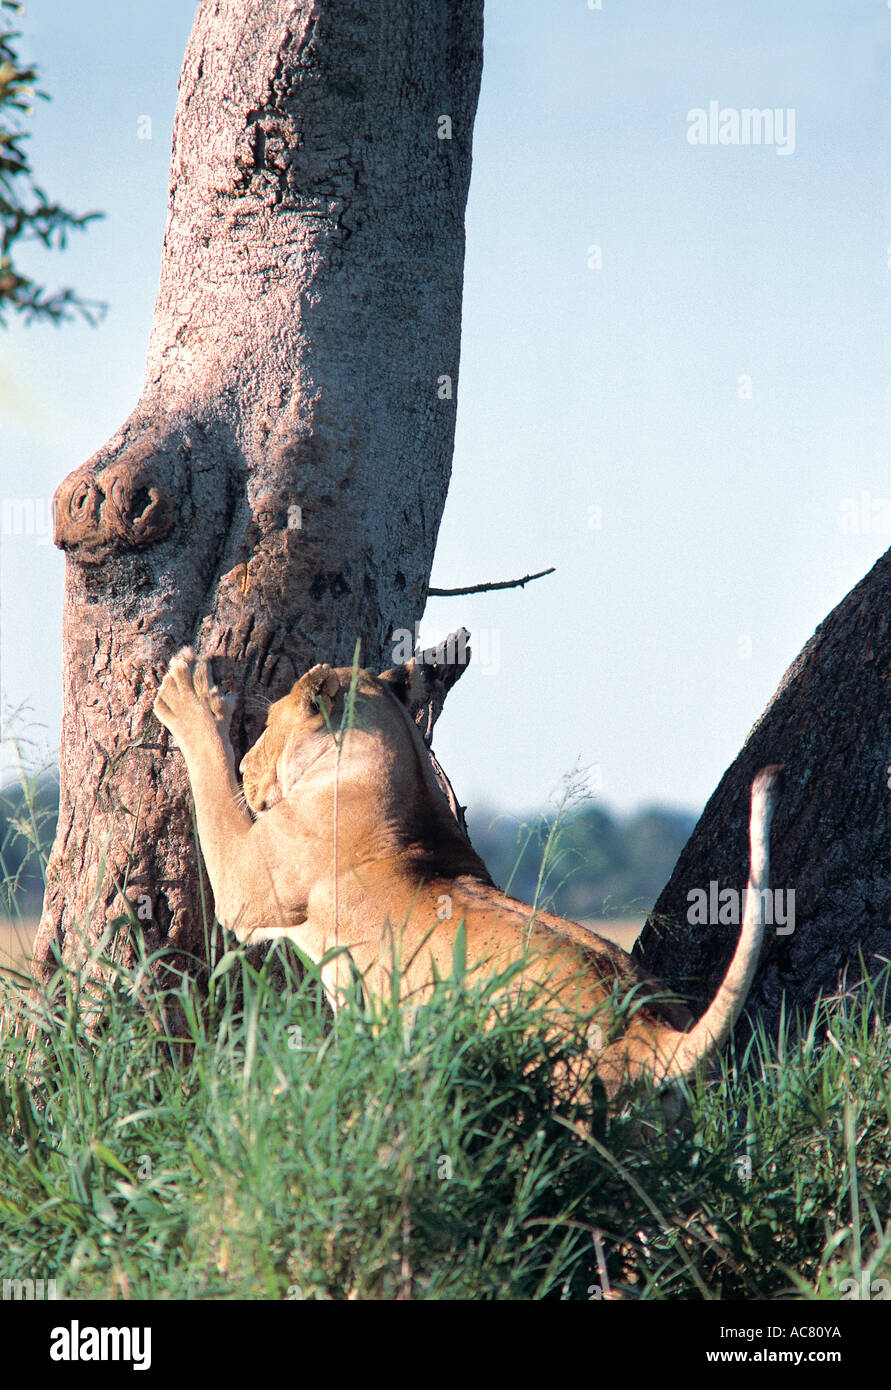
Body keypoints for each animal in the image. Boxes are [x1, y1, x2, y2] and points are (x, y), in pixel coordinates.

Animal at [153, 647, 782, 1102]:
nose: (249, 767)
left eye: (265, 728)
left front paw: (188, 692)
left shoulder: (246, 891)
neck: (397, 766)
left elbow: (211, 786)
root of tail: (648, 1033)